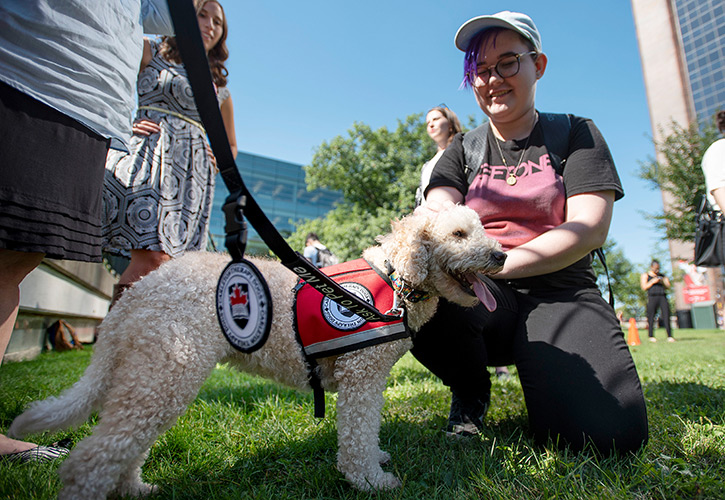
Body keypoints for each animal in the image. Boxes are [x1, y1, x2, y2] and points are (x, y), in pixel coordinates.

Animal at [8, 203, 504, 496]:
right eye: (459, 234)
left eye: (481, 229)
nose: (500, 255)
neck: (393, 279)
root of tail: (139, 292)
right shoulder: (361, 378)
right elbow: (357, 437)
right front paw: (369, 479)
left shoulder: (366, 381)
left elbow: (367, 434)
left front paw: (375, 461)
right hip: (167, 369)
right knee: (90, 460)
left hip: (149, 376)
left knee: (124, 446)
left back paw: (134, 488)